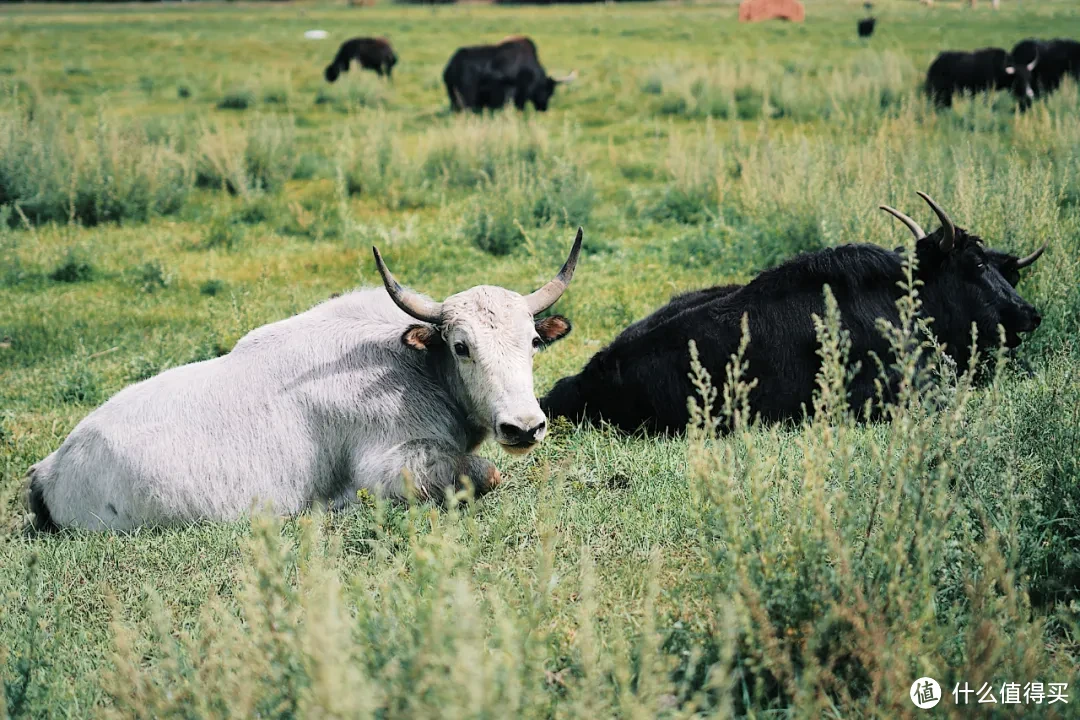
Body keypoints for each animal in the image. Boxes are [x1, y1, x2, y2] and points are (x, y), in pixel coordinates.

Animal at [25, 227, 583, 533]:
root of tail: (51, 467)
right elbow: (487, 473)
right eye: (462, 346)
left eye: (533, 342)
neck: (411, 365)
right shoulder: (391, 467)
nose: (524, 426)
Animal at [440, 35, 578, 112]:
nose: (543, 108)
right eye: (549, 91)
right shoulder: (521, 95)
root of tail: (450, 67)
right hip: (465, 99)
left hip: (453, 97)